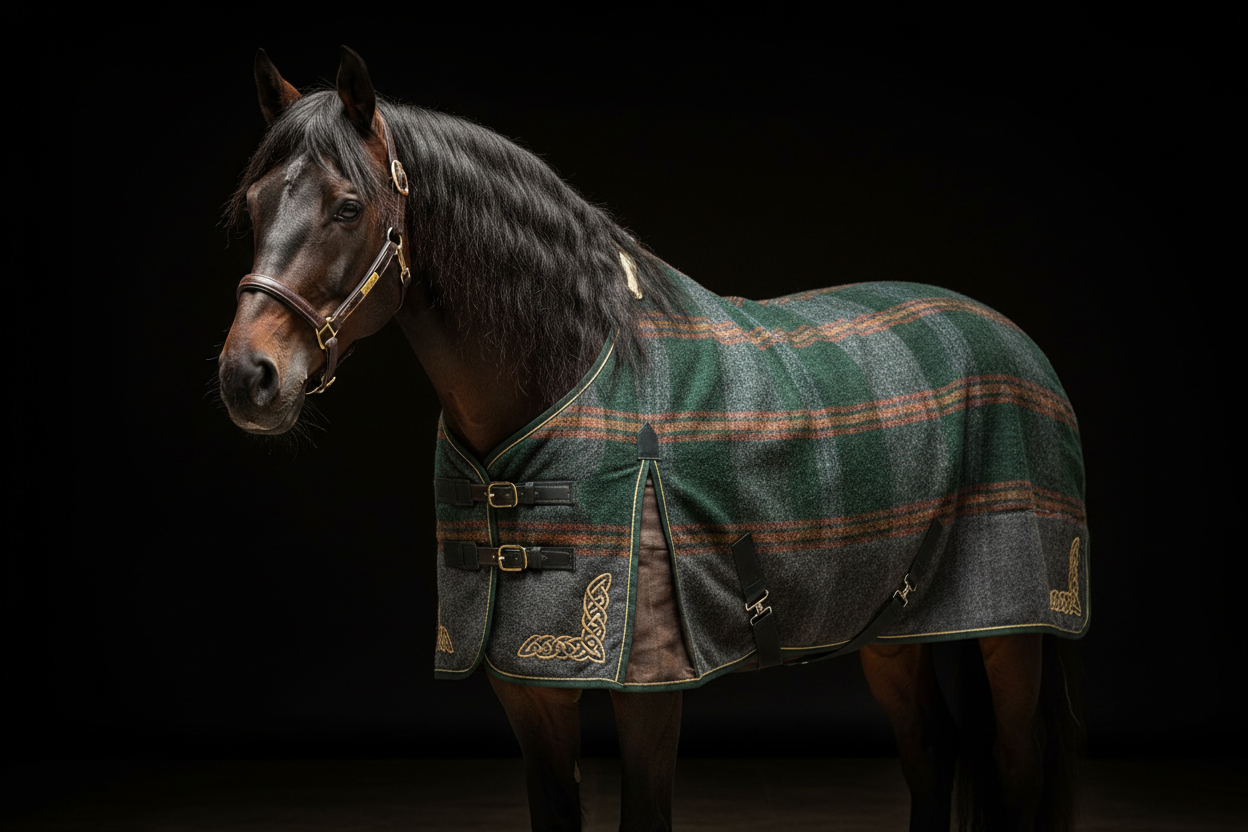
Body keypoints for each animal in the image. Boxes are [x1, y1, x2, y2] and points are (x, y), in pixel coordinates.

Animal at [218, 47, 1086, 832]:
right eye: (254, 204)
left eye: (346, 207)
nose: (248, 376)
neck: (573, 381)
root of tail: (1011, 339)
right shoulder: (527, 685)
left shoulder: (648, 686)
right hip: (890, 626)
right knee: (930, 752)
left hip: (1016, 633)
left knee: (1015, 767)